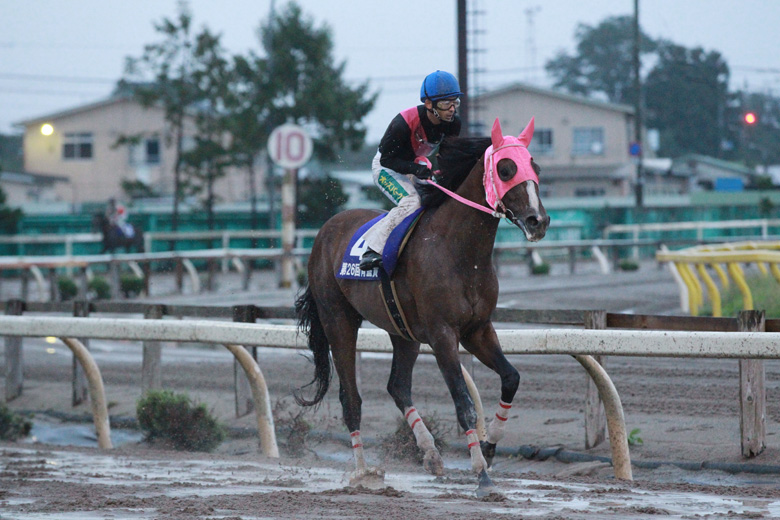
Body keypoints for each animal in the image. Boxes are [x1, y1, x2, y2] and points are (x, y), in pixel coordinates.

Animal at [295, 117, 550, 495]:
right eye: (506, 169)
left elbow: (511, 378)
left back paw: (430, 454)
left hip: (402, 330)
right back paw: (362, 472)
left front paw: (489, 447)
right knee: (350, 399)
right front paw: (481, 474)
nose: (538, 221)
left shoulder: (477, 329)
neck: (459, 250)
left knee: (398, 386)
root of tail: (325, 230)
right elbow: (463, 402)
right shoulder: (442, 333)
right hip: (338, 319)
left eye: (535, 166)